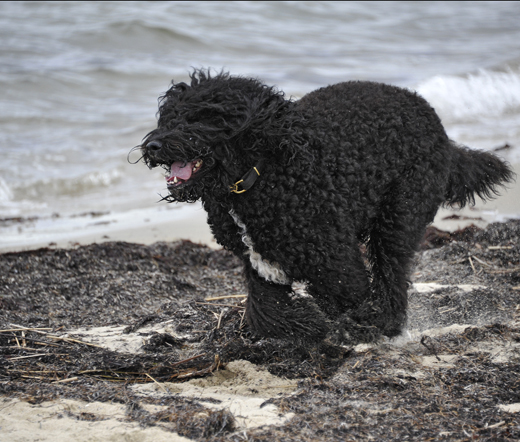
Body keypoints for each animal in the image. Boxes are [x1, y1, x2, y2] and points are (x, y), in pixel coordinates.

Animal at [139, 70, 516, 346]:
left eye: (205, 116)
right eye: (169, 115)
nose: (153, 145)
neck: (262, 177)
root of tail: (441, 131)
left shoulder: (337, 263)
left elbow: (350, 296)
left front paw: (352, 326)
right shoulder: (258, 265)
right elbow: (268, 317)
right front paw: (309, 325)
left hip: (400, 214)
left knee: (392, 278)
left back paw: (387, 324)